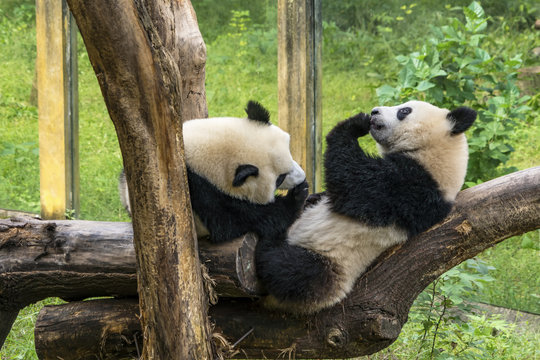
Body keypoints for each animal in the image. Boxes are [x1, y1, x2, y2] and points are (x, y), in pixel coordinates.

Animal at [118, 100, 308, 243]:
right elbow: (235, 221)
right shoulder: (203, 193)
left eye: (290, 152)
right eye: (280, 178)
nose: (303, 177)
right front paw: (298, 195)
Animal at [255, 100, 474, 312]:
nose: (375, 111)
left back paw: (272, 243)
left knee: (292, 272)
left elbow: (354, 183)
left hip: (332, 265)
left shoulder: (413, 187)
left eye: (404, 111)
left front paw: (354, 124)